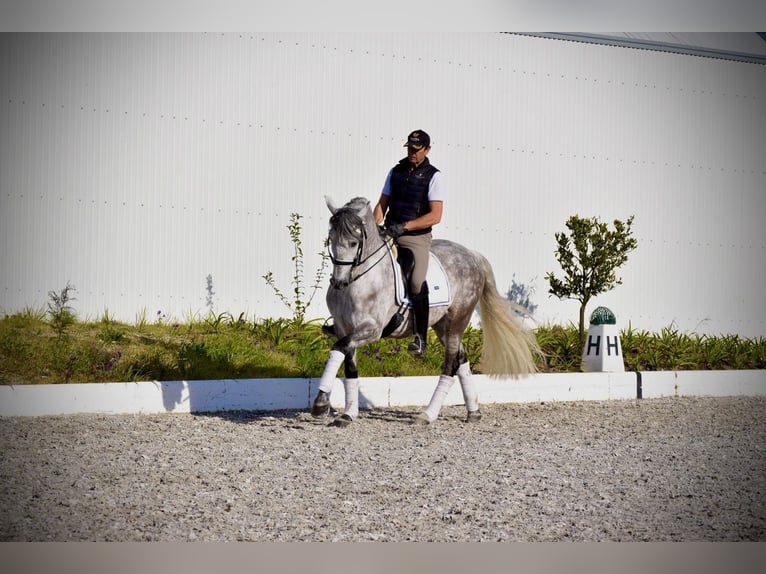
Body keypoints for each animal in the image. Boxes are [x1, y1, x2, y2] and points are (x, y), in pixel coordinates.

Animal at [312, 196, 540, 426]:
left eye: (354, 242)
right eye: (331, 239)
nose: (339, 283)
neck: (360, 279)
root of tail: (471, 255)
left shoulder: (371, 329)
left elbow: (338, 348)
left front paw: (321, 403)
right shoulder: (345, 328)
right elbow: (348, 365)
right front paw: (347, 414)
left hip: (458, 319)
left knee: (450, 365)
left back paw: (428, 414)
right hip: (443, 326)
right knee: (461, 358)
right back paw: (473, 412)